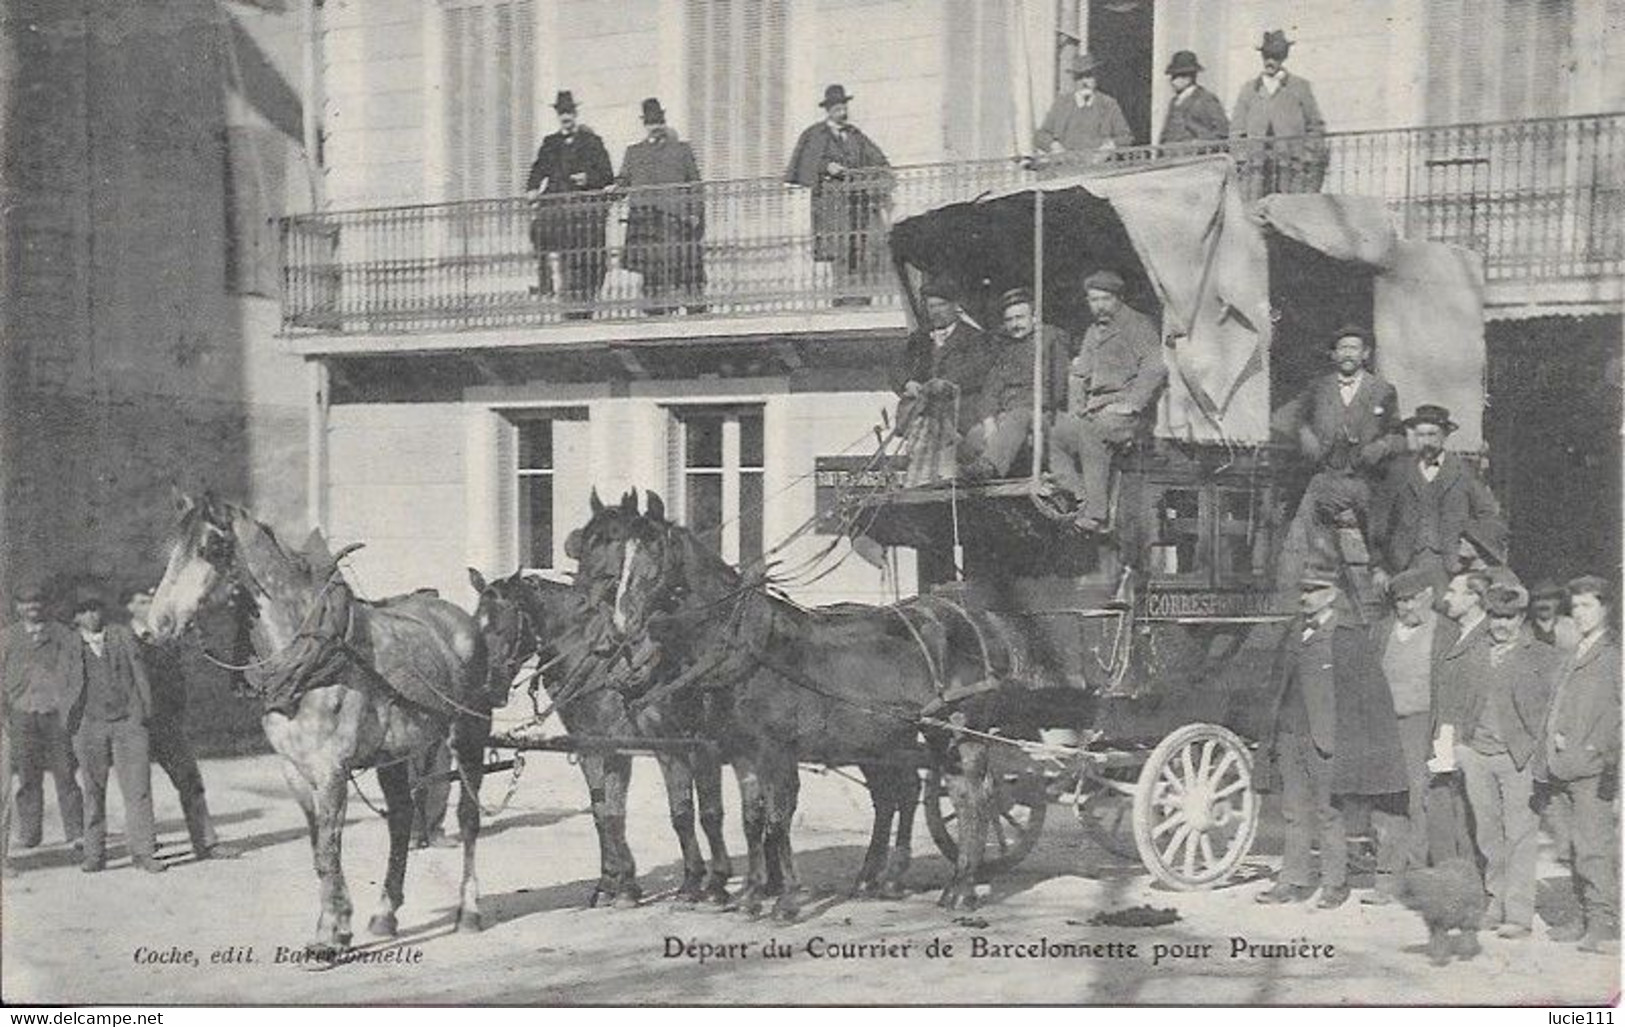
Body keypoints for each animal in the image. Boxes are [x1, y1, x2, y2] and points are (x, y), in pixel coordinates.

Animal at [146, 490, 487, 955]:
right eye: (169, 550)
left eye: (212, 548)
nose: (153, 627)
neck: (308, 654)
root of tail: (459, 617)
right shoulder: (294, 770)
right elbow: (317, 851)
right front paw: (339, 926)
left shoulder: (331, 770)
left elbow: (328, 850)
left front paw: (329, 936)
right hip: (394, 754)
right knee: (400, 819)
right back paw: (385, 914)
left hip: (469, 736)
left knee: (469, 818)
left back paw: (469, 910)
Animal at [468, 546, 728, 903]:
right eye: (476, 628)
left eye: (504, 627)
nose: (489, 689)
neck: (600, 663)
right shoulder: (592, 747)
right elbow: (605, 814)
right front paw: (614, 883)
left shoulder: (647, 746)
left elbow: (664, 812)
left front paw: (661, 882)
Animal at [572, 487, 1001, 916]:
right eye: (622, 554)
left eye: (654, 554)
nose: (621, 624)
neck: (747, 649)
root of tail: (963, 615)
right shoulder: (742, 750)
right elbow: (753, 818)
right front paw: (751, 893)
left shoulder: (772, 748)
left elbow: (777, 819)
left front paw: (784, 899)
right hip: (891, 738)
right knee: (917, 793)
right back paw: (903, 882)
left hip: (960, 728)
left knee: (974, 796)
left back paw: (962, 886)